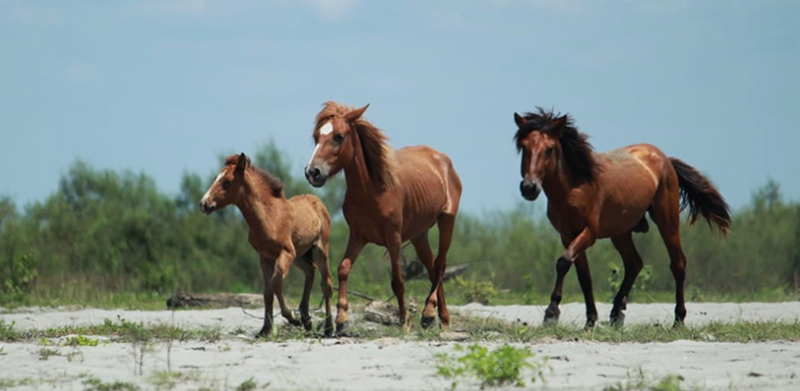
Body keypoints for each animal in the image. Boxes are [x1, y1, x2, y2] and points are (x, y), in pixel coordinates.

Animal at [203, 155, 338, 338]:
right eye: (216, 178)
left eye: (228, 181)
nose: (204, 203)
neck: (268, 216)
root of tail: (317, 201)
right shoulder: (265, 257)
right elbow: (267, 291)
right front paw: (265, 329)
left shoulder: (285, 252)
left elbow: (276, 282)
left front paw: (292, 317)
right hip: (300, 255)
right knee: (310, 270)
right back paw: (306, 318)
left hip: (319, 249)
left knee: (327, 284)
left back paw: (328, 328)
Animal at [302, 101, 462, 334]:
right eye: (316, 136)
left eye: (339, 136)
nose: (312, 172)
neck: (373, 191)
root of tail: (442, 159)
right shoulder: (357, 237)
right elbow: (343, 269)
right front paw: (342, 319)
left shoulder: (393, 239)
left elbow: (398, 281)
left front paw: (404, 321)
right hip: (419, 235)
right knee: (433, 267)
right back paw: (441, 318)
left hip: (446, 220)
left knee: (440, 264)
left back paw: (428, 313)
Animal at [512, 108, 732, 330]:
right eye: (524, 147)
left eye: (549, 149)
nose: (529, 188)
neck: (574, 187)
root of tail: (664, 159)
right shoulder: (567, 236)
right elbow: (584, 277)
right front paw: (590, 320)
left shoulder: (589, 233)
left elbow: (564, 262)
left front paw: (551, 313)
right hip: (621, 233)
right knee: (634, 263)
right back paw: (617, 313)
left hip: (667, 221)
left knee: (677, 264)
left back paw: (678, 319)